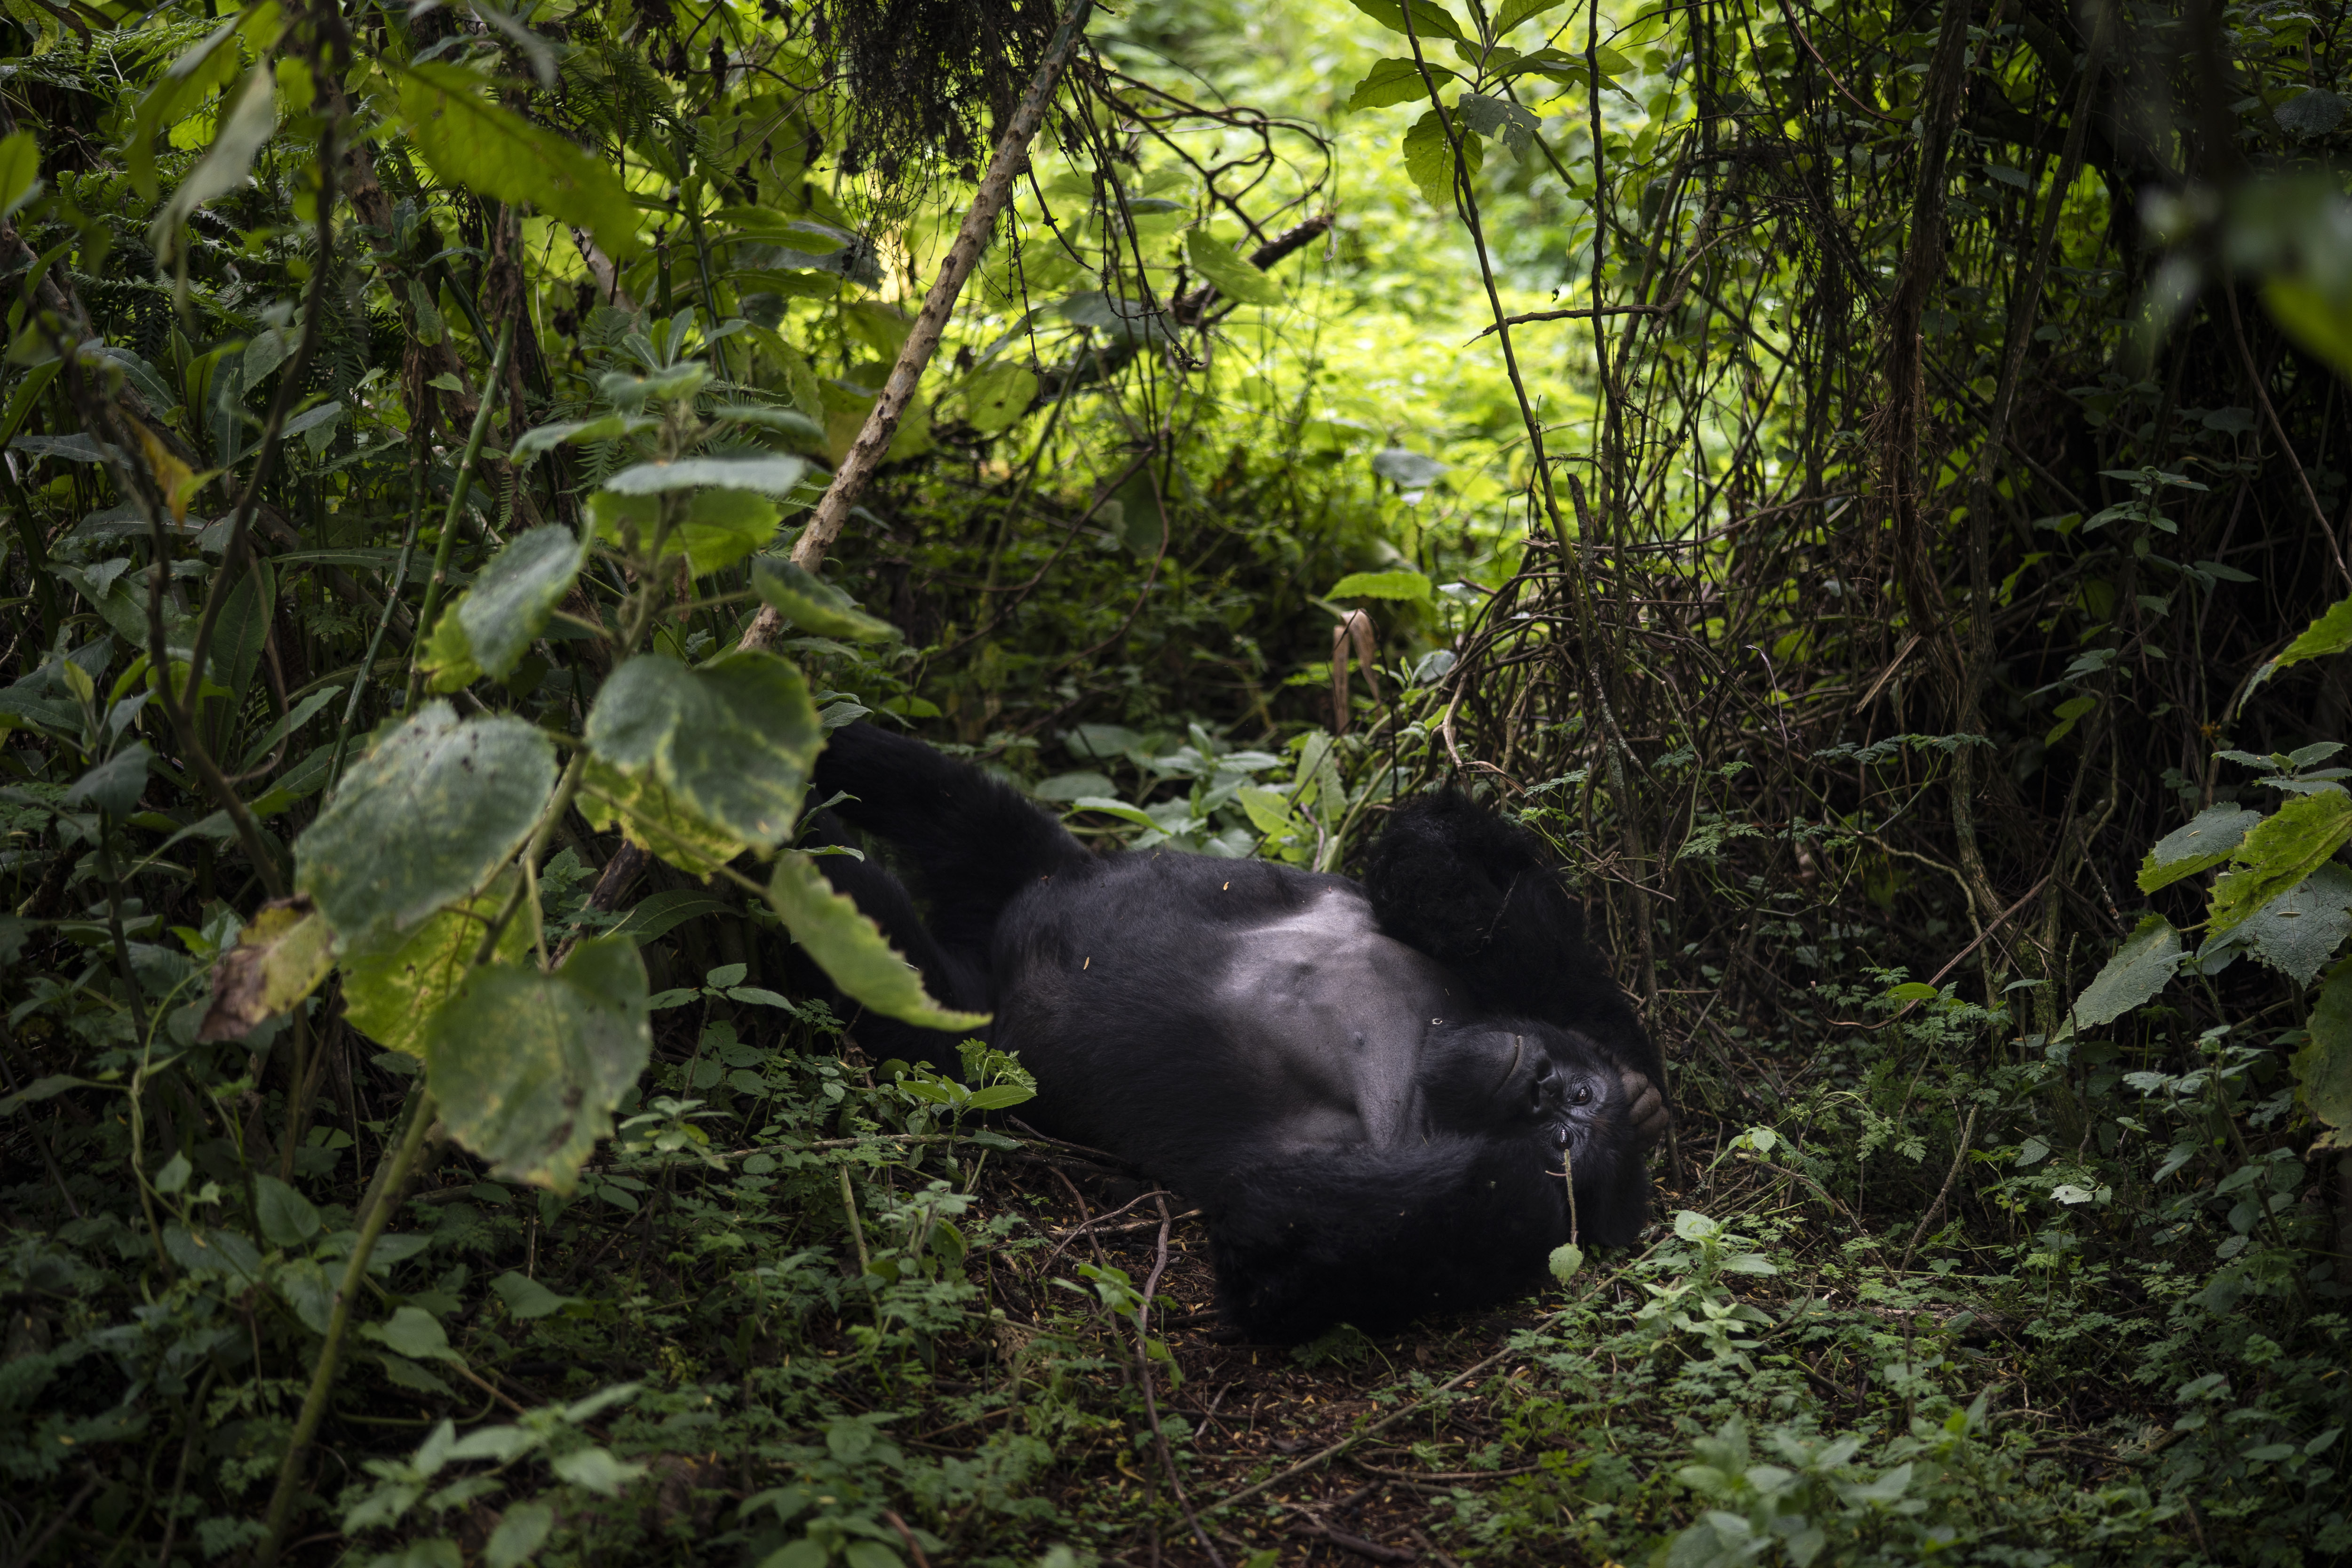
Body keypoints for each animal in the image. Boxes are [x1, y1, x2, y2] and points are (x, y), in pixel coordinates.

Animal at [809, 729, 1675, 1345]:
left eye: (1565, 1138)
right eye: (1576, 1094)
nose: (1547, 1092)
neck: (1438, 1049)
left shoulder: (1424, 1213)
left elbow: (1275, 1252)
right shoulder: (1535, 995)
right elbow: (1450, 850)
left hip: (975, 1035)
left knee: (879, 937)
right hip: (1048, 869)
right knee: (952, 804)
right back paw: (824, 758)